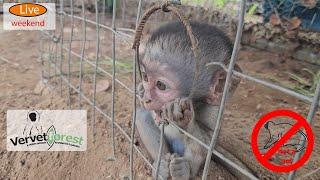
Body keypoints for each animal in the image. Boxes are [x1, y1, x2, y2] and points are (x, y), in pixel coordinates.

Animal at [135, 21, 242, 179]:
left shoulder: (214, 108)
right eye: (145, 77)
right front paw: (141, 90)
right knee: (142, 116)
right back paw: (161, 166)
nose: (147, 99)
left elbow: (207, 138)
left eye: (161, 85)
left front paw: (183, 120)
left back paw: (185, 170)